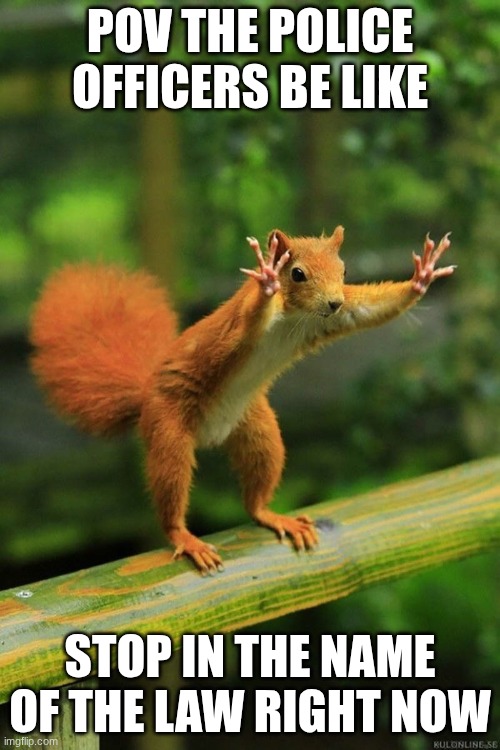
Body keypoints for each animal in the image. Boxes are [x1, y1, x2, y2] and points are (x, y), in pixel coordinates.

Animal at [30, 227, 454, 572]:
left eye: (345, 270)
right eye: (296, 273)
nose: (333, 301)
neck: (294, 316)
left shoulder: (334, 318)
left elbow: (368, 309)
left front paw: (422, 278)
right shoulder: (238, 326)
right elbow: (247, 321)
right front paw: (266, 278)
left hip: (257, 429)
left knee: (255, 493)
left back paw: (272, 515)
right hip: (168, 429)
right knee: (170, 487)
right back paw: (184, 537)